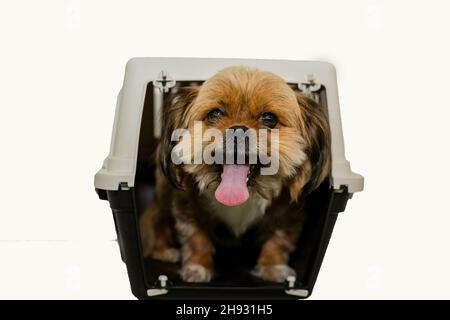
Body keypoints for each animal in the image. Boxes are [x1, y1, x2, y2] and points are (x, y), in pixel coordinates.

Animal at [139, 65, 332, 282]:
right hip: (163, 196)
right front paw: (198, 266)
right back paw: (162, 250)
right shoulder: (188, 206)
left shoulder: (286, 214)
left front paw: (273, 266)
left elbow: (278, 240)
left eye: (269, 118)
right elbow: (196, 238)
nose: (238, 130)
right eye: (215, 113)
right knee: (158, 221)